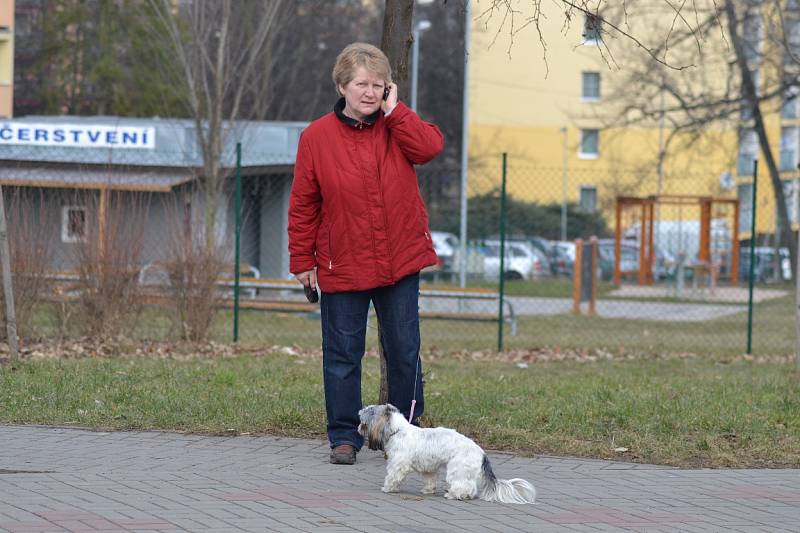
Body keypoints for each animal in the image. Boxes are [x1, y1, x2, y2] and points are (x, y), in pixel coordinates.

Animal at [358, 404, 536, 502]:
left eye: (364, 422)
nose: (359, 428)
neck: (398, 430)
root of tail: (482, 454)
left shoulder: (398, 465)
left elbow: (393, 477)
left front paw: (388, 488)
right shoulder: (429, 469)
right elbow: (430, 480)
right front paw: (428, 491)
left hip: (457, 470)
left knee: (465, 486)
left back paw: (455, 495)